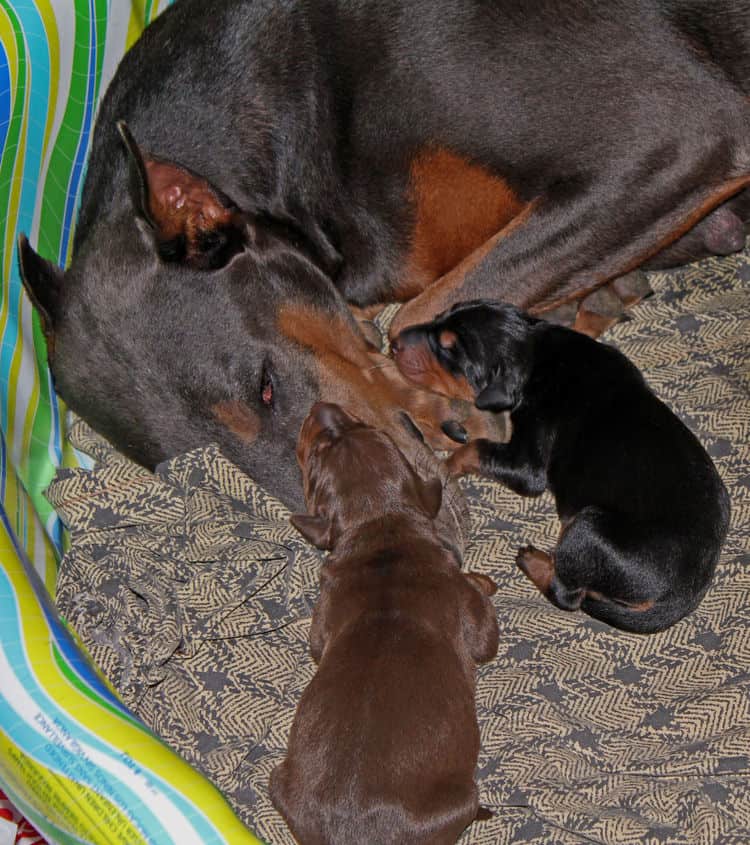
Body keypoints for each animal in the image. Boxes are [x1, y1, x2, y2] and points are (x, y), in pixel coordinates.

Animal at [270, 402, 500, 844]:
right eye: (316, 453)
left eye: (359, 425)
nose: (322, 408)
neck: (382, 524)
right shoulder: (465, 607)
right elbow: (485, 633)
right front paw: (484, 580)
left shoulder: (324, 613)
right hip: (460, 797)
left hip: (278, 780)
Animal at [396, 304, 732, 632]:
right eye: (438, 317)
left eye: (447, 348)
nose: (395, 342)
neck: (535, 354)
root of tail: (683, 594)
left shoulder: (528, 464)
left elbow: (474, 448)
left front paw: (442, 466)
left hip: (588, 529)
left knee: (568, 595)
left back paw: (534, 561)